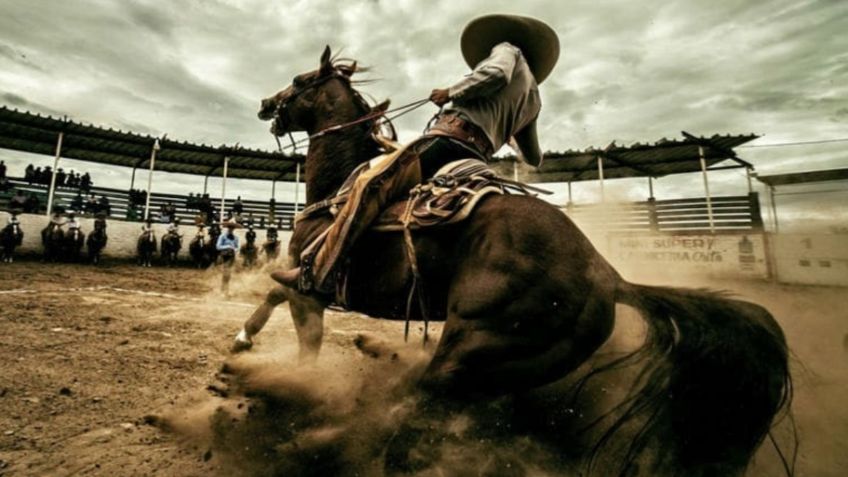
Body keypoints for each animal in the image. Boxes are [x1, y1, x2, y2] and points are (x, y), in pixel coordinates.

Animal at [247, 46, 796, 470]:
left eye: (300, 80)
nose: (266, 102)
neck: (340, 183)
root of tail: (606, 275)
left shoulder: (311, 282)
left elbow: (301, 331)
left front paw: (262, 361)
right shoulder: (300, 279)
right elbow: (274, 295)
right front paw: (245, 340)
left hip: (472, 351)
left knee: (417, 408)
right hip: (505, 367)